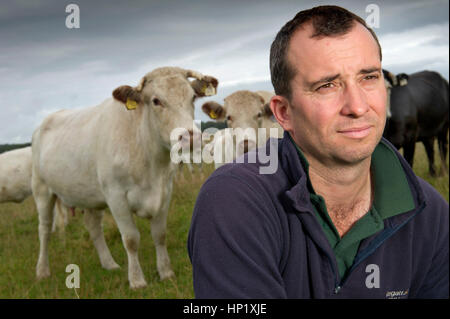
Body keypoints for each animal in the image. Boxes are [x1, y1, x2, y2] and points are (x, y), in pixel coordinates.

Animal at [31, 66, 218, 288]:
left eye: (192, 97)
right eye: (156, 100)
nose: (190, 137)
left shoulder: (165, 192)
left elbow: (160, 235)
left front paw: (166, 272)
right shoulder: (116, 196)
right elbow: (131, 239)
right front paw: (137, 280)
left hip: (89, 194)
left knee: (93, 227)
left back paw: (109, 264)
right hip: (42, 190)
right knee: (44, 229)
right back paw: (42, 271)